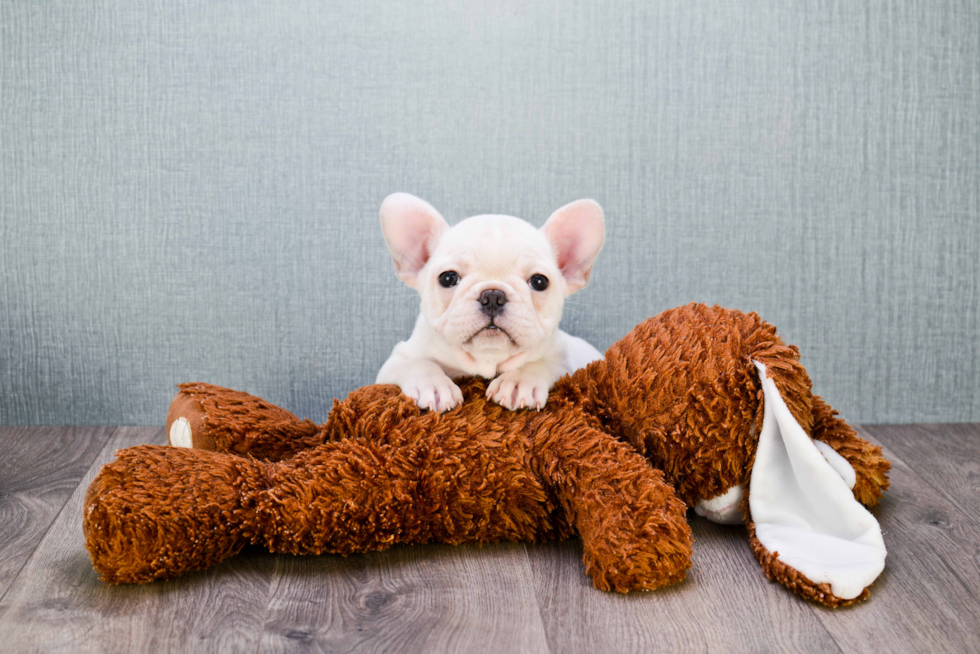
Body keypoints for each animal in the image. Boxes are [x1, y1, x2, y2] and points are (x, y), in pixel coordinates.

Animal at [378, 192, 600, 412]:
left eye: (539, 282)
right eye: (447, 278)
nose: (493, 296)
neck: (487, 360)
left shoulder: (565, 362)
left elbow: (539, 362)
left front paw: (518, 382)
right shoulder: (396, 360)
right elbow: (417, 363)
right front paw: (432, 385)